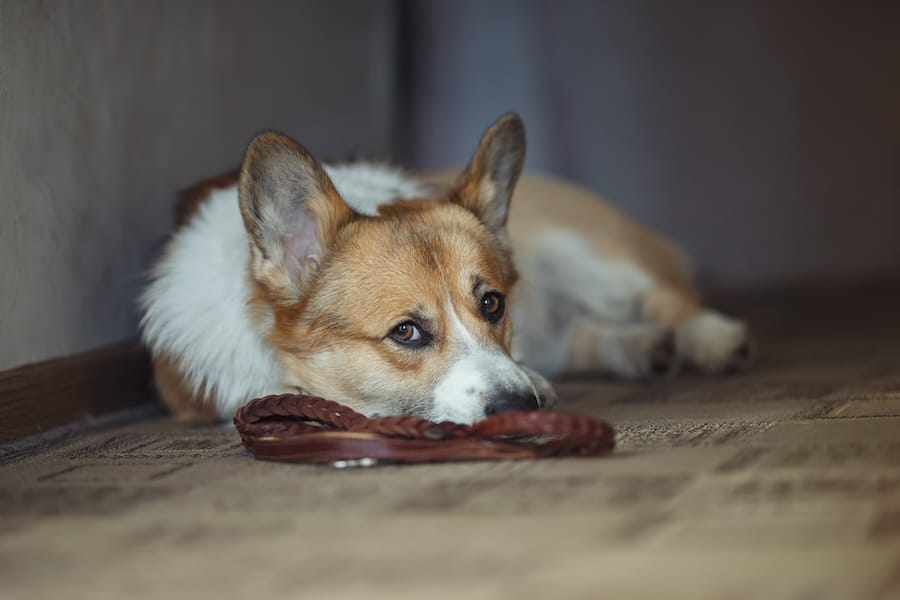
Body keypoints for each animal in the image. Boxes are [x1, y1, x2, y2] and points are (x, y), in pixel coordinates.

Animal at [142, 112, 752, 422]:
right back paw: (640, 348)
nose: (519, 407)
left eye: (492, 303)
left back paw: (712, 339)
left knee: (668, 298)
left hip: (590, 254)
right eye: (406, 332)